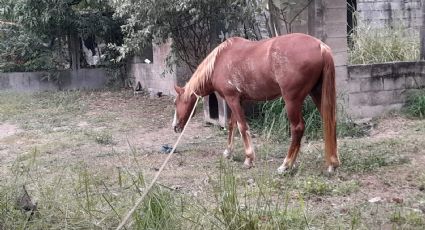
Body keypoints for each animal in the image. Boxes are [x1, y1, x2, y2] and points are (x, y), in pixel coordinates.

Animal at [171, 32, 340, 172]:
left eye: (175, 103)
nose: (175, 127)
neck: (219, 61)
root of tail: (321, 46)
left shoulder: (232, 99)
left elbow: (242, 126)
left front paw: (249, 159)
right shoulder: (239, 100)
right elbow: (232, 124)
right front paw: (228, 152)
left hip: (292, 100)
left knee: (297, 128)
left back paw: (286, 165)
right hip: (317, 94)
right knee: (330, 121)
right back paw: (333, 163)